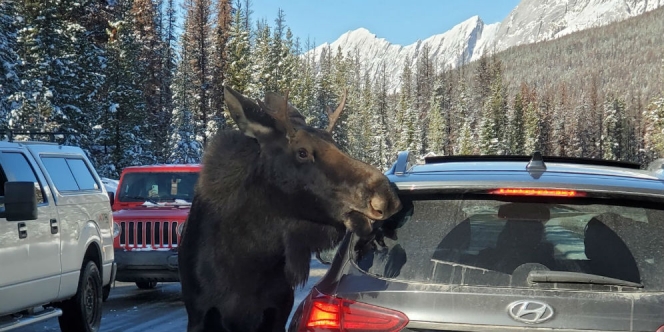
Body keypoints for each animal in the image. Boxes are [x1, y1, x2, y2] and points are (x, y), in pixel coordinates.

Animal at [179, 86, 402, 332]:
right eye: (302, 152)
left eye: (335, 143)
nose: (386, 197)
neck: (251, 261)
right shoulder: (199, 314)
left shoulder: (279, 310)